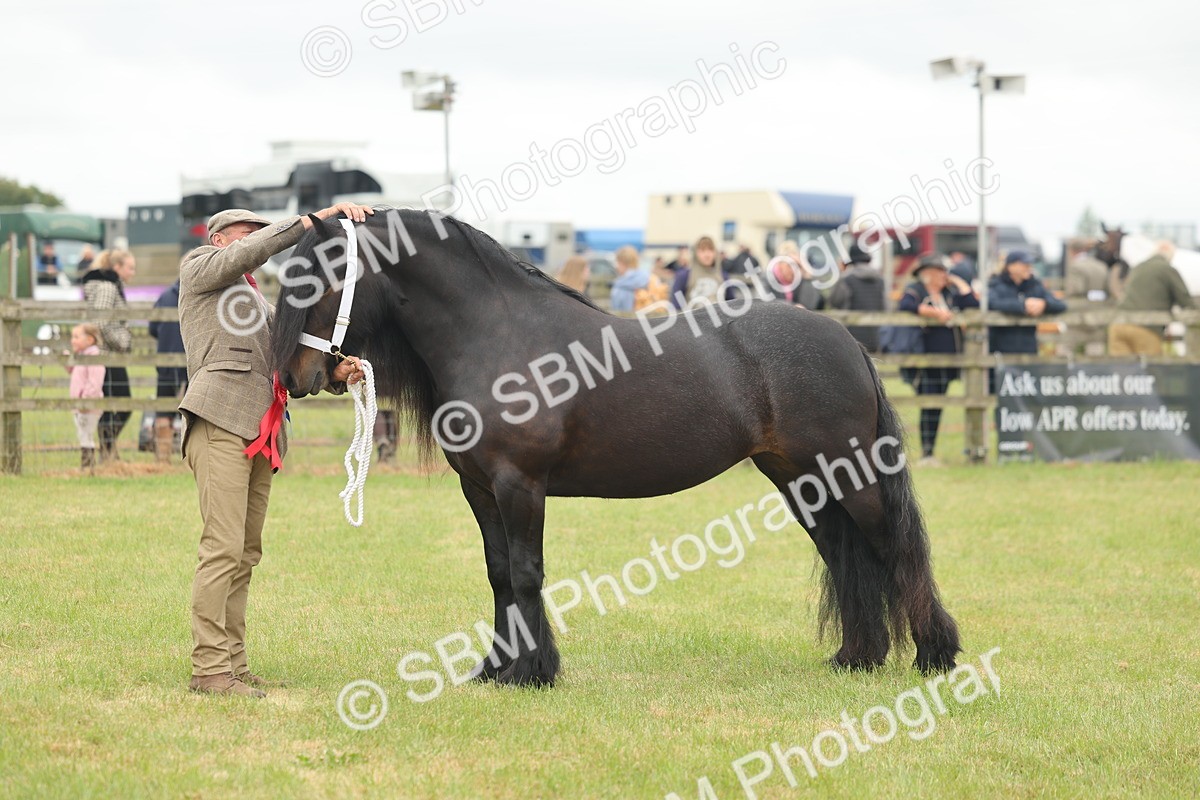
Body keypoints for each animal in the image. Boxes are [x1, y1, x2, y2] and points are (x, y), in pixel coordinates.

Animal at [270, 209, 961, 687]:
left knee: (892, 550)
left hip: (851, 476)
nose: (298, 379)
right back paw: (858, 657)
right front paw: (495, 668)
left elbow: (527, 572)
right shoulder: (481, 488)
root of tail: (847, 341)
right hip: (802, 482)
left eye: (320, 281)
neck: (496, 334)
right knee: (847, 557)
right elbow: (499, 573)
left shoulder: (521, 484)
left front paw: (533, 672)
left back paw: (935, 655)